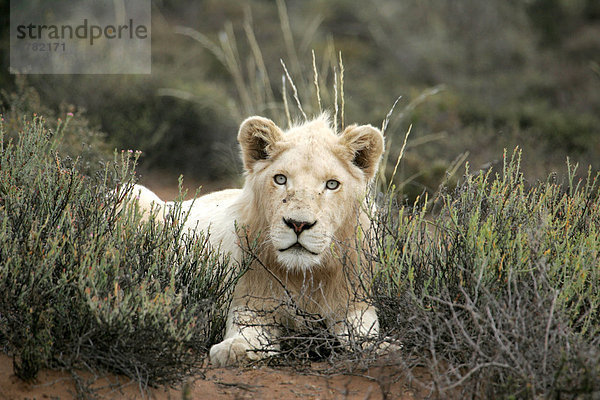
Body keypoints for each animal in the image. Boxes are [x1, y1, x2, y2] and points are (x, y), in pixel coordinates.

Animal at [131, 115, 384, 366]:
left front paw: (383, 347)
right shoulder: (250, 301)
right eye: (280, 179)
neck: (303, 277)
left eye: (332, 184)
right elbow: (247, 331)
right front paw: (234, 349)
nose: (298, 224)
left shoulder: (352, 304)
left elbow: (365, 332)